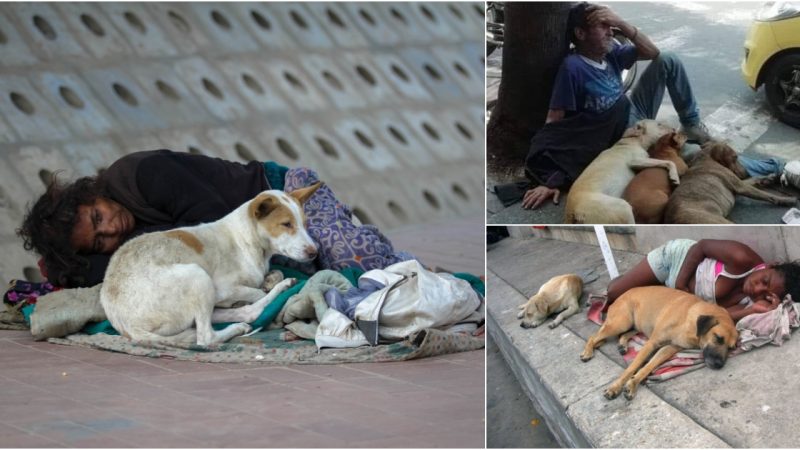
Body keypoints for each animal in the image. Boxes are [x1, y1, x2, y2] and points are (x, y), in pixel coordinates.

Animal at [101, 183, 320, 344]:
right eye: (286, 224)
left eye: (304, 223)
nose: (314, 252)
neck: (246, 239)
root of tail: (128, 326)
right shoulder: (222, 289)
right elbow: (256, 291)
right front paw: (266, 287)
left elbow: (271, 276)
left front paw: (271, 279)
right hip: (198, 276)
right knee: (210, 335)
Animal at [580, 286, 740, 400]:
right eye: (718, 338)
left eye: (731, 348)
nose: (719, 365)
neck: (689, 321)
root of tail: (617, 298)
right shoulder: (652, 343)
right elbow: (632, 367)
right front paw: (615, 387)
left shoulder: (668, 348)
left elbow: (648, 367)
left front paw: (632, 384)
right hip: (621, 322)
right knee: (593, 337)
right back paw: (587, 352)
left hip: (635, 325)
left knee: (624, 334)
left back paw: (623, 345)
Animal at [664, 141, 792, 223]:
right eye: (735, 157)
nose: (746, 173)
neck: (705, 158)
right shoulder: (740, 186)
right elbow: (768, 195)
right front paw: (786, 200)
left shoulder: (739, 183)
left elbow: (754, 179)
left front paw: (769, 178)